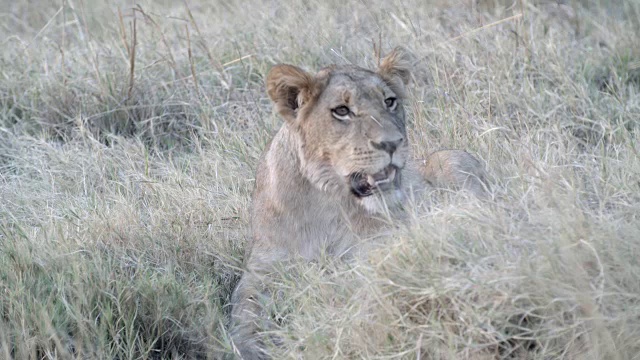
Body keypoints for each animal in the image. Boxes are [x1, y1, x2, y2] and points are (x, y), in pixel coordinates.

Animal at [229, 48, 484, 360]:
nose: (392, 143)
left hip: (451, 159)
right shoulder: (262, 268)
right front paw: (245, 346)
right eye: (341, 110)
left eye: (389, 101)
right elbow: (243, 310)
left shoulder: (373, 251)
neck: (323, 201)